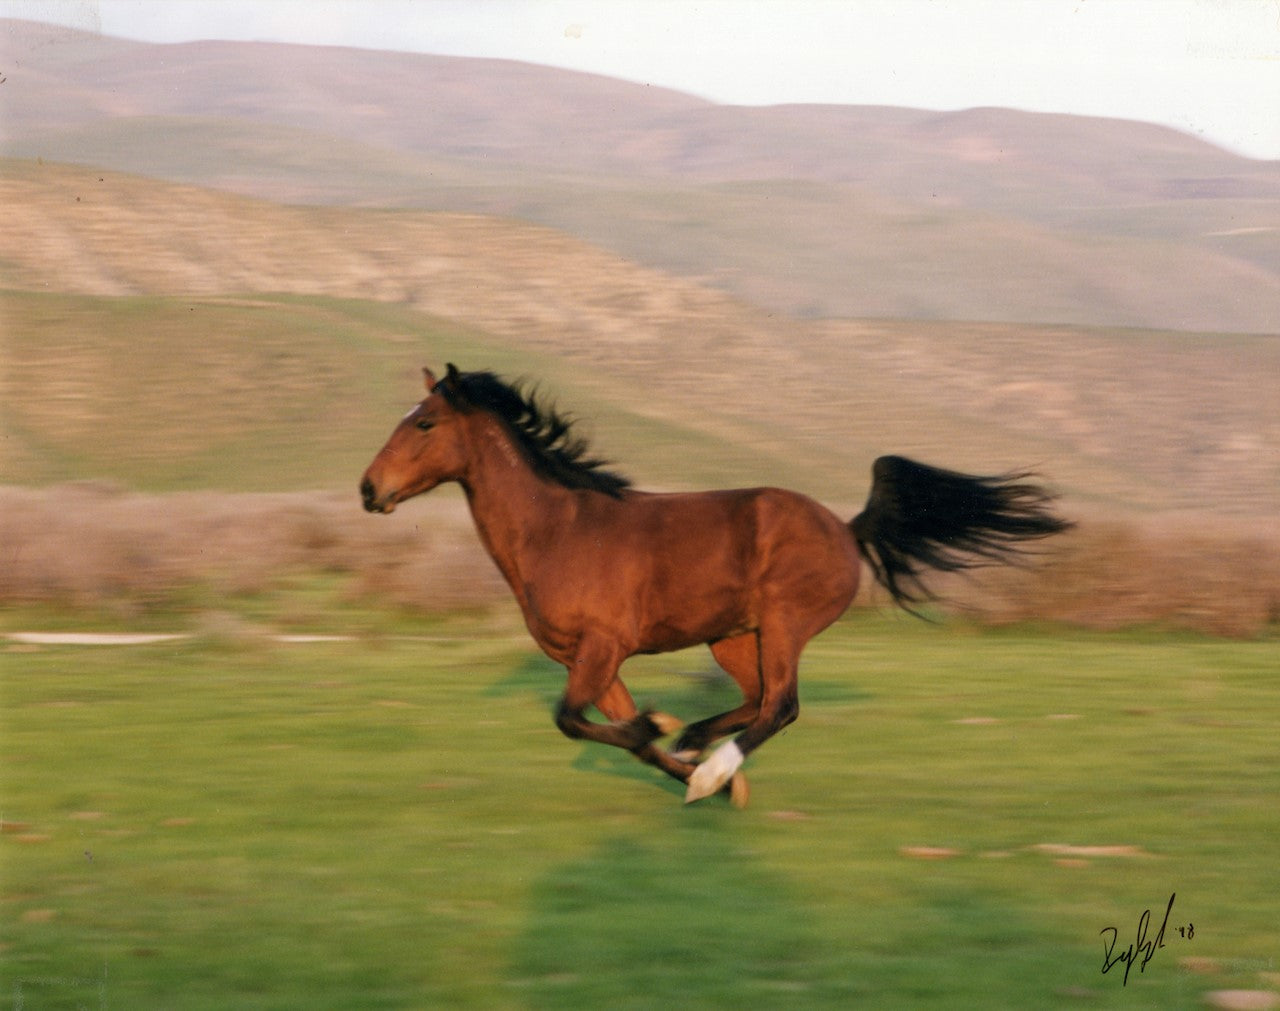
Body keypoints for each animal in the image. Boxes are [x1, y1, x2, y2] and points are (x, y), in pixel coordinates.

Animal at [360, 363, 1070, 808]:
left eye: (424, 423)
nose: (370, 490)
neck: (557, 531)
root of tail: (846, 526)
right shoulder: (592, 662)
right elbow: (618, 734)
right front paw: (679, 749)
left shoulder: (601, 648)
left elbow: (571, 721)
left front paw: (688, 759)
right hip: (733, 638)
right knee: (756, 701)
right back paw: (701, 745)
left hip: (784, 623)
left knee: (781, 705)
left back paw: (712, 763)